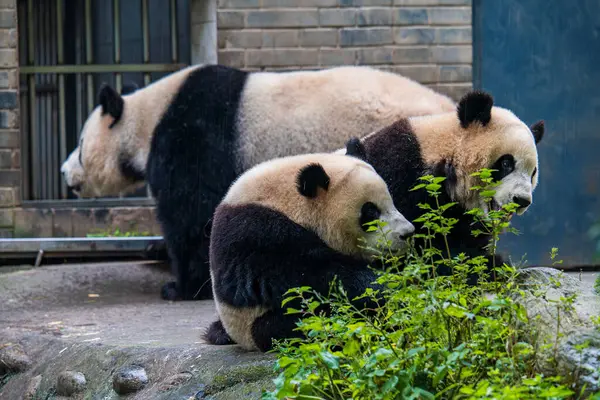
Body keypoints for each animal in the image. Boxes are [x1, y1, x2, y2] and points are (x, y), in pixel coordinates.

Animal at [61, 63, 454, 300]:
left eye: (79, 145)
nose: (65, 174)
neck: (148, 118)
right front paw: (155, 254)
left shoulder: (192, 138)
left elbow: (190, 215)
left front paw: (180, 286)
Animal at [204, 148, 414, 352]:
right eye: (370, 211)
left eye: (391, 202)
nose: (408, 233)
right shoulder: (256, 234)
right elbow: (314, 274)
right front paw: (390, 291)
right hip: (263, 324)